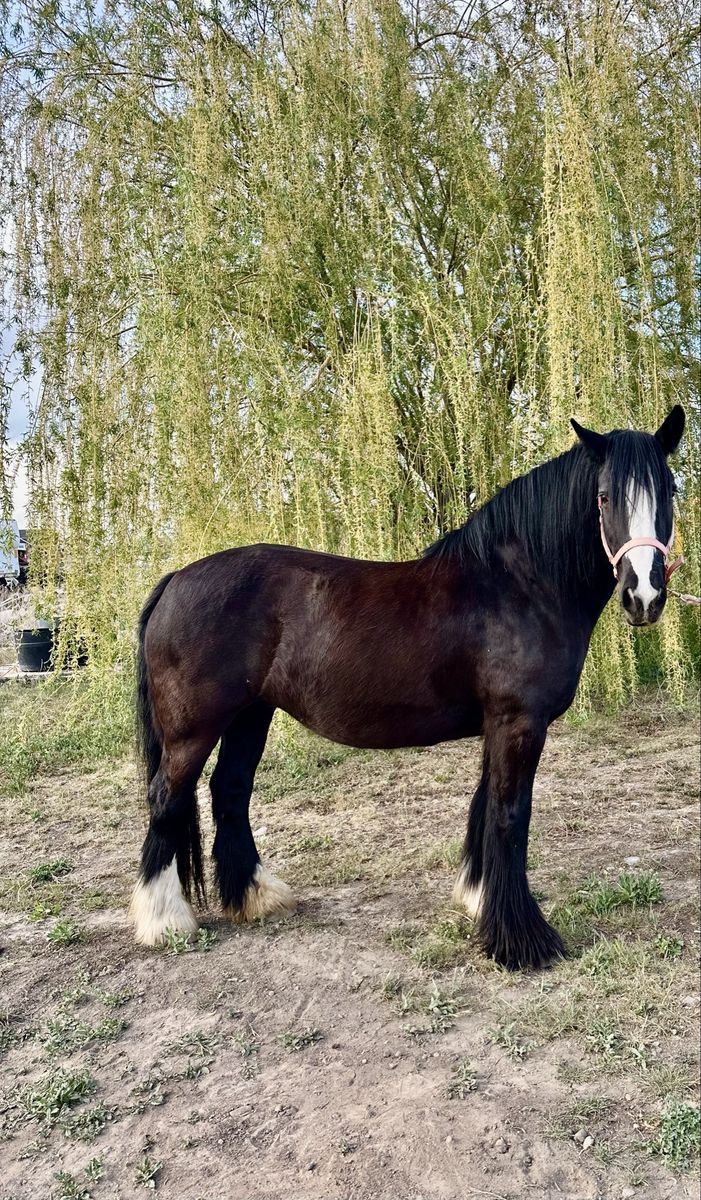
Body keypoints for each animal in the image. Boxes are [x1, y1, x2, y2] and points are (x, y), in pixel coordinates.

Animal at [128, 405, 685, 969]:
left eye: (671, 489)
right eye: (605, 497)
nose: (644, 595)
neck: (519, 586)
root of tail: (175, 580)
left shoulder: (497, 725)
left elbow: (484, 808)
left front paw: (478, 901)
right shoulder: (518, 723)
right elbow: (511, 815)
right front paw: (521, 942)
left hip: (250, 715)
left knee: (230, 790)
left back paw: (256, 897)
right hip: (194, 730)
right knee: (167, 798)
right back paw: (164, 920)